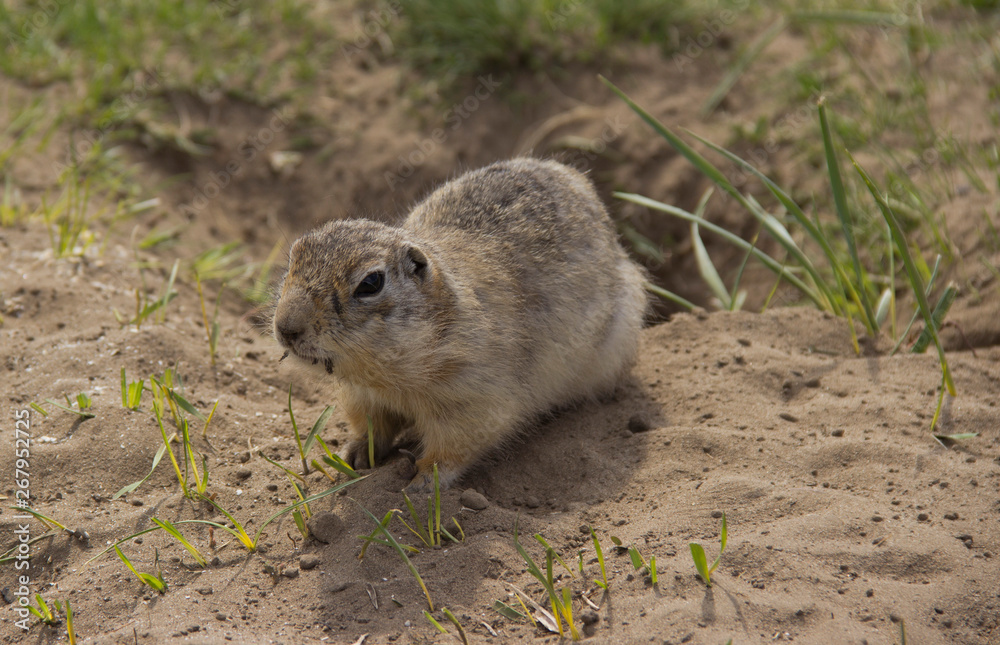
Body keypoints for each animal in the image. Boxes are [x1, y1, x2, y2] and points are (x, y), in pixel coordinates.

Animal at [272, 158, 648, 491]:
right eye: (295, 254)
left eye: (370, 283)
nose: (286, 328)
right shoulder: (362, 395)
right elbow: (371, 426)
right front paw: (355, 455)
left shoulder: (472, 400)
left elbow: (451, 449)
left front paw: (421, 483)